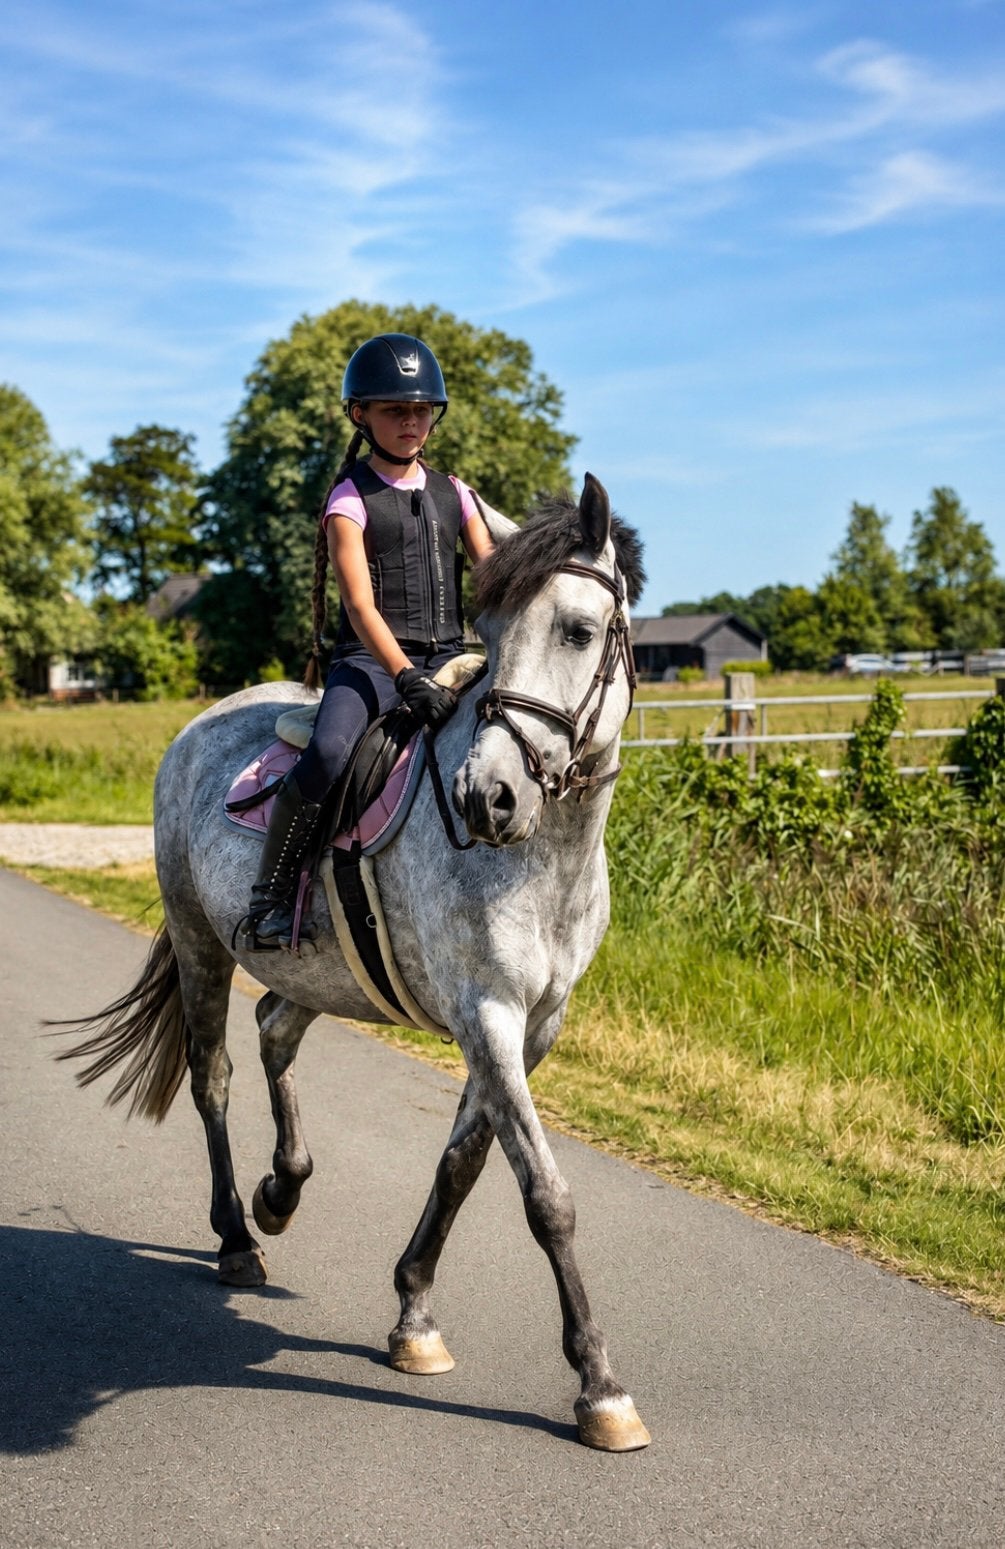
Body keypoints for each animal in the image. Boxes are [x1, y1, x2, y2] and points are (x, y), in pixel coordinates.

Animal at [59, 473, 650, 1452]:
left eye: (575, 629)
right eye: (494, 635)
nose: (485, 798)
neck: (545, 852)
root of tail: (199, 725)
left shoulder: (533, 1028)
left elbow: (462, 1166)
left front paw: (414, 1317)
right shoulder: (485, 1014)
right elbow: (545, 1195)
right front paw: (599, 1385)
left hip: (319, 970)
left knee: (273, 1030)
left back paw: (281, 1189)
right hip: (198, 942)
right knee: (213, 1073)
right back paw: (238, 1236)